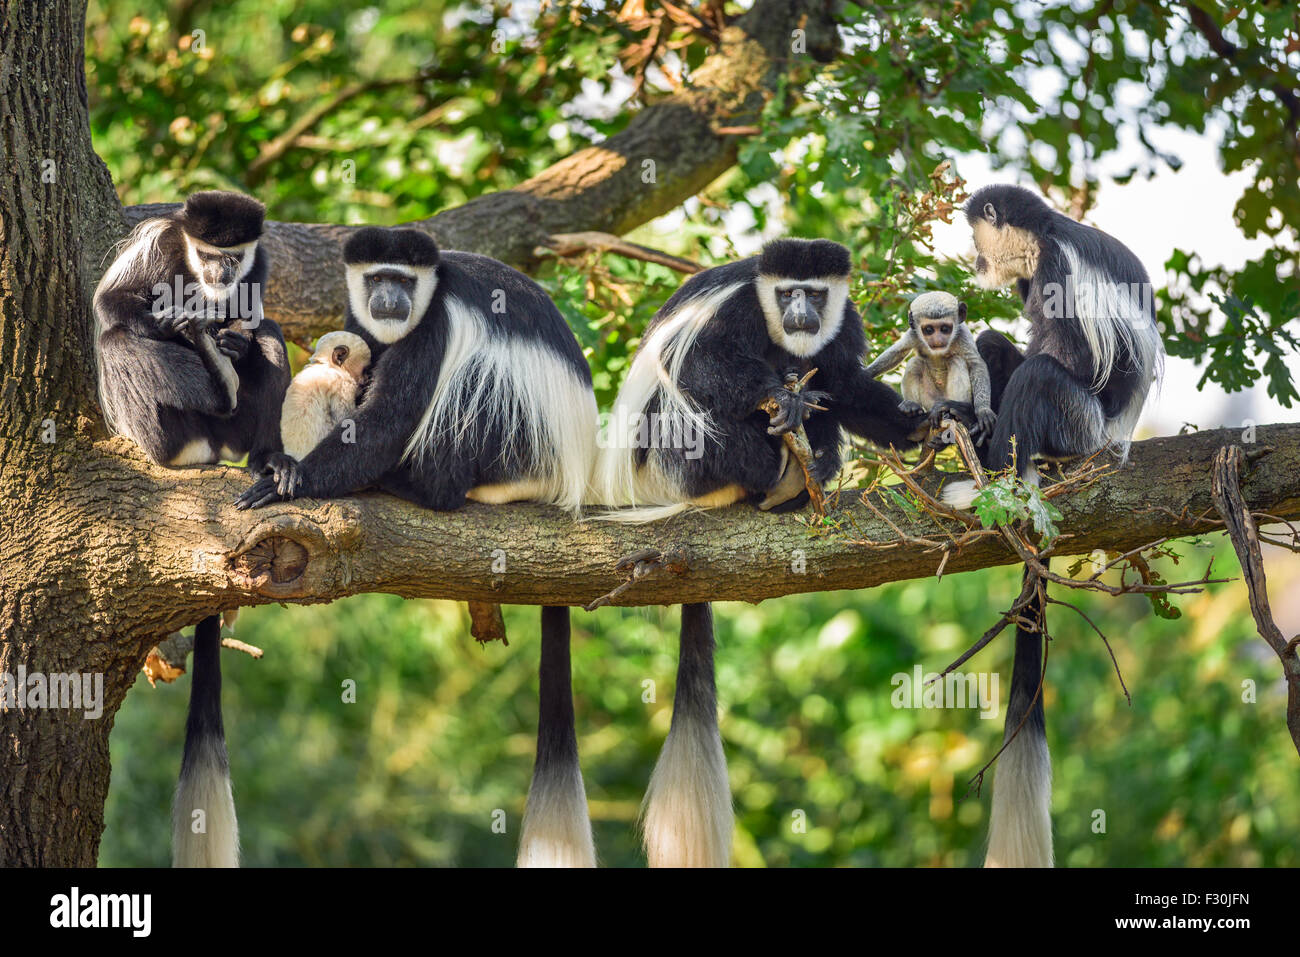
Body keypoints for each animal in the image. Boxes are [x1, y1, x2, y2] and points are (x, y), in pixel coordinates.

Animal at [94, 187, 292, 868]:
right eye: (207, 254)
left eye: (233, 257)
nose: (220, 275)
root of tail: (203, 450)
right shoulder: (157, 243)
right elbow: (114, 304)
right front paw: (189, 324)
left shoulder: (259, 266)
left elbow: (258, 319)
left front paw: (229, 337)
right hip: (153, 422)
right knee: (121, 341)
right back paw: (210, 377)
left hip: (237, 434)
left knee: (271, 337)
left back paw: (264, 450)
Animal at [233, 226, 598, 868]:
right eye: (378, 278)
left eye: (403, 280)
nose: (391, 300)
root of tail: (571, 477)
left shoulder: (435, 327)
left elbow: (386, 420)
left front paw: (287, 480)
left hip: (517, 444)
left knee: (474, 384)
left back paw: (419, 484)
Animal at [595, 239, 930, 868]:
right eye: (786, 292)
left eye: (815, 294)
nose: (800, 312)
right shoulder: (735, 312)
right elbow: (703, 367)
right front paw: (778, 395)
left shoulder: (843, 325)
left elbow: (846, 384)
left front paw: (923, 425)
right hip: (675, 462)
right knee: (698, 407)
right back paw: (773, 463)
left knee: (822, 398)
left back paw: (802, 474)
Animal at [863, 289, 993, 442]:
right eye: (929, 330)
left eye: (945, 328)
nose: (938, 340)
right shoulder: (913, 334)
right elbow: (897, 352)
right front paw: (867, 372)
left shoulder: (962, 335)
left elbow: (976, 364)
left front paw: (983, 411)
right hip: (928, 400)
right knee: (915, 363)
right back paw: (911, 407)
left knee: (956, 361)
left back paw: (953, 412)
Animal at [941, 184, 1164, 868]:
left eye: (976, 237)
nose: (974, 261)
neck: (1044, 237)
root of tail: (1113, 442)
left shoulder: (1061, 274)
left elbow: (1074, 353)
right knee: (995, 347)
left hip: (1079, 425)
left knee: (1044, 376)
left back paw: (991, 479)